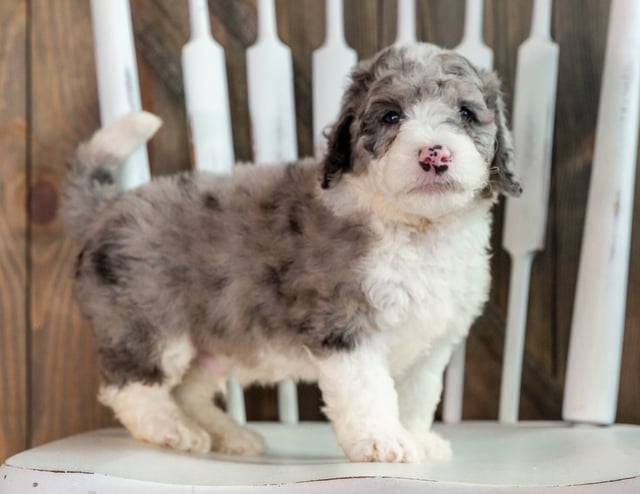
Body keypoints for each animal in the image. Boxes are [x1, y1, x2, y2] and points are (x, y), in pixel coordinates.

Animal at [61, 42, 520, 464]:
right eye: (391, 116)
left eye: (465, 113)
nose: (434, 153)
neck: (417, 230)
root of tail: (106, 208)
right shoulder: (345, 324)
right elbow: (368, 390)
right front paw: (381, 440)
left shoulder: (431, 343)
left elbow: (417, 397)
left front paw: (417, 439)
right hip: (149, 323)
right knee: (131, 388)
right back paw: (173, 430)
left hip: (213, 345)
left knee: (187, 391)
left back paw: (229, 434)